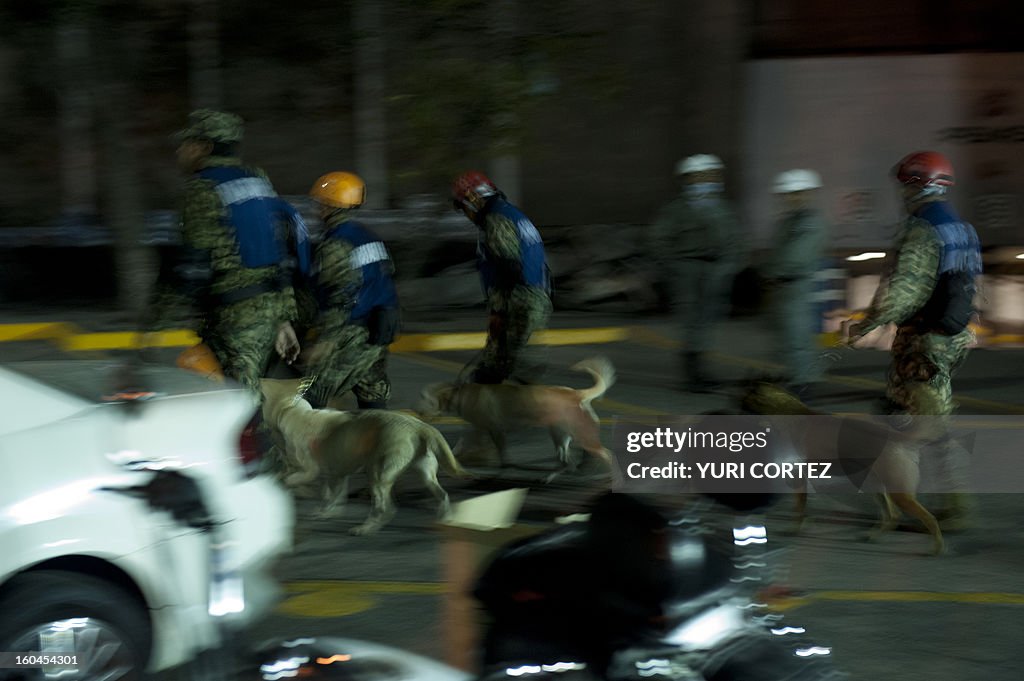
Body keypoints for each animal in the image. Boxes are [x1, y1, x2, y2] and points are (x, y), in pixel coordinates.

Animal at [264, 376, 471, 532]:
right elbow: (333, 496)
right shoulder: (338, 473)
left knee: (385, 508)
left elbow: (295, 480)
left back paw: (365, 529)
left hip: (378, 474)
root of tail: (419, 426)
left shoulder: (311, 470)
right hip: (425, 473)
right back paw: (445, 519)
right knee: (442, 495)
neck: (293, 410)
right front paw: (327, 513)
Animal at [415, 358, 614, 481]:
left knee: (602, 455)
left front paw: (500, 471)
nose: (418, 413)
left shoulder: (496, 431)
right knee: (568, 461)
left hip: (577, 435)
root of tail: (577, 394)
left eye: (427, 399)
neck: (459, 394)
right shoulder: (478, 428)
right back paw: (551, 477)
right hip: (560, 436)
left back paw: (602, 477)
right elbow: (461, 445)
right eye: (422, 397)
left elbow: (503, 456)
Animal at [737, 378, 942, 557]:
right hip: (874, 486)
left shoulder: (798, 477)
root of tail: (896, 436)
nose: (732, 407)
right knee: (892, 516)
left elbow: (799, 509)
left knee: (929, 519)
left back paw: (937, 549)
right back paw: (872, 536)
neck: (784, 412)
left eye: (743, 397)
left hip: (898, 494)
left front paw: (795, 528)